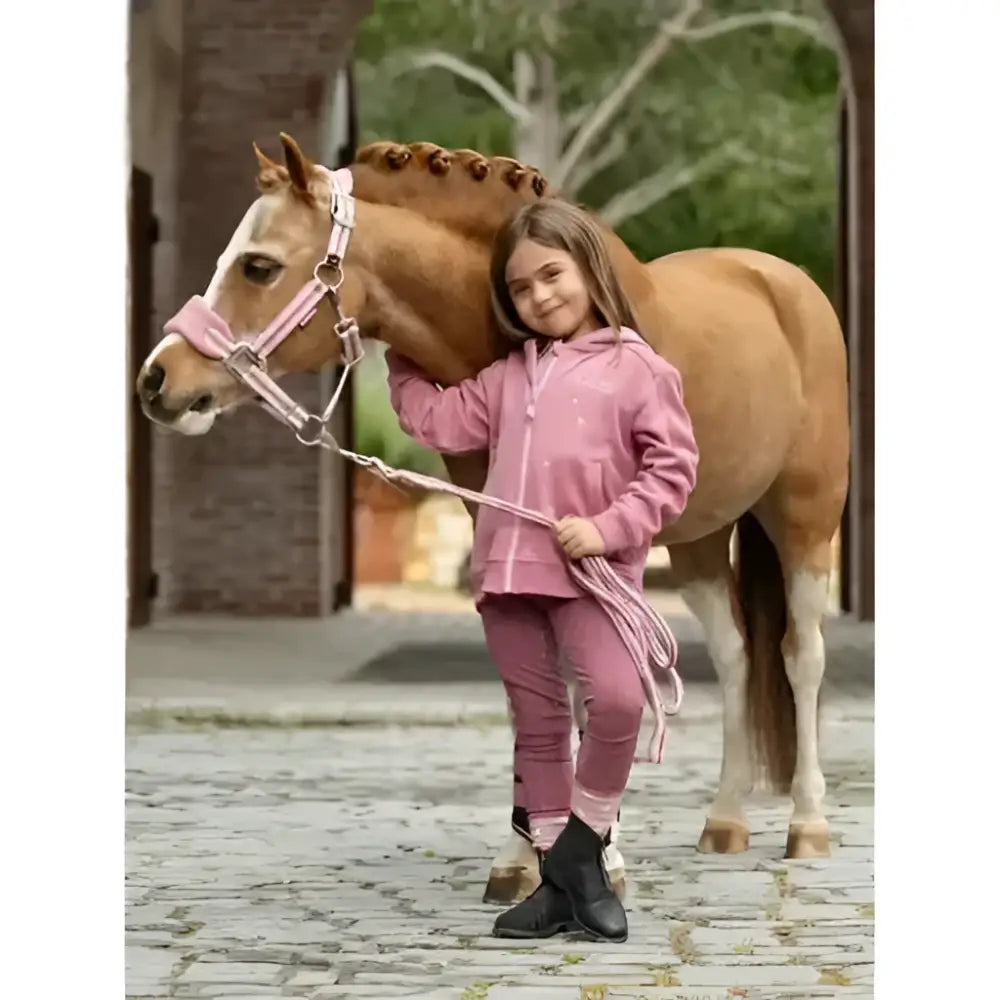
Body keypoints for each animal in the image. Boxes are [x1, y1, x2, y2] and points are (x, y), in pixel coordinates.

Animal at [137, 133, 849, 904]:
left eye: (259, 265)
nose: (156, 381)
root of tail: (785, 283)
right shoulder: (507, 538)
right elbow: (536, 695)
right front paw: (521, 858)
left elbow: (598, 685)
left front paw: (602, 857)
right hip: (700, 542)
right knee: (737, 657)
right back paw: (724, 822)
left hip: (804, 522)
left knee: (801, 656)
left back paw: (808, 825)